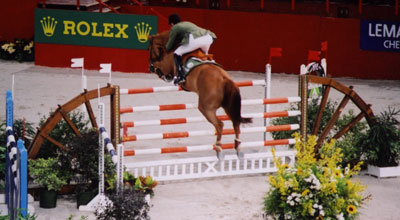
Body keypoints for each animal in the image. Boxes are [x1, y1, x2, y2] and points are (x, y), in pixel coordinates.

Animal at [148, 30, 252, 160]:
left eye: (149, 49)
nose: (150, 62)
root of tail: (224, 80)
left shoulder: (167, 64)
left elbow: (160, 65)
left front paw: (158, 71)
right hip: (228, 106)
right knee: (236, 123)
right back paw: (237, 147)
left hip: (206, 108)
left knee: (220, 125)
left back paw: (219, 149)